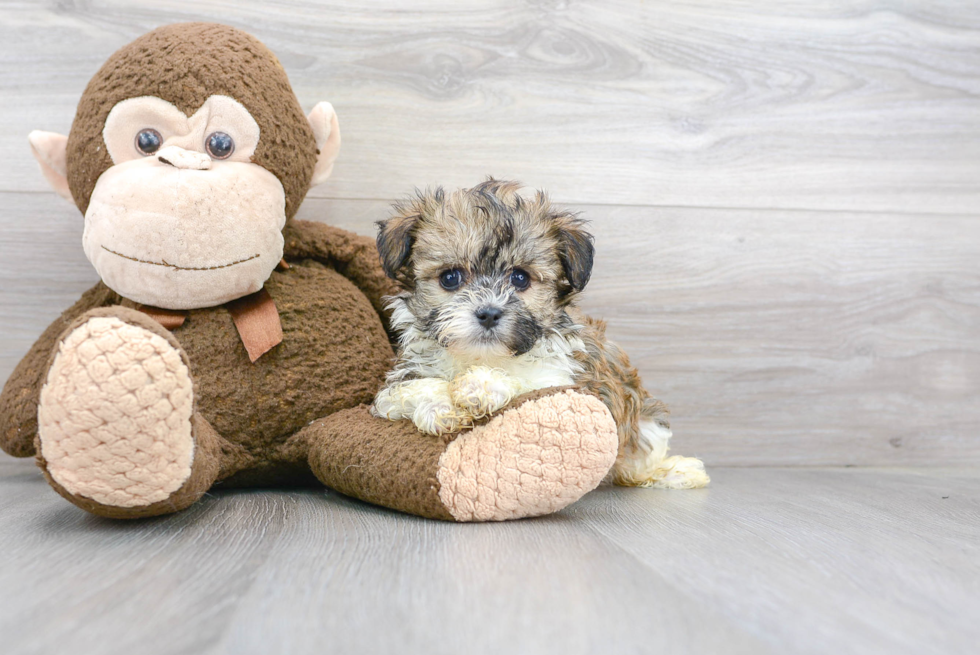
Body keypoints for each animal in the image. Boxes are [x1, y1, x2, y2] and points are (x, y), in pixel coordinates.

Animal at [372, 182, 708, 490]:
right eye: (450, 277)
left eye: (520, 278)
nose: (489, 313)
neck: (481, 356)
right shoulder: (399, 382)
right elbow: (408, 388)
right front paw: (440, 407)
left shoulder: (566, 380)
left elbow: (528, 380)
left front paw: (481, 385)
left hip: (646, 426)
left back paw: (676, 472)